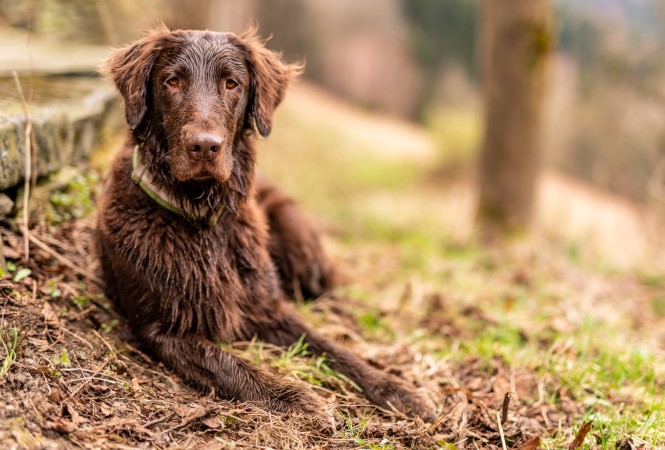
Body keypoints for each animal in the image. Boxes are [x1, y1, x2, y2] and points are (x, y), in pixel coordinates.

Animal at [97, 23, 430, 418]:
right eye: (172, 82)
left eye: (231, 83)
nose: (205, 146)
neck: (202, 214)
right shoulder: (163, 329)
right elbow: (233, 366)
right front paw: (299, 398)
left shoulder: (269, 307)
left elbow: (333, 348)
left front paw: (396, 388)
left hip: (295, 235)